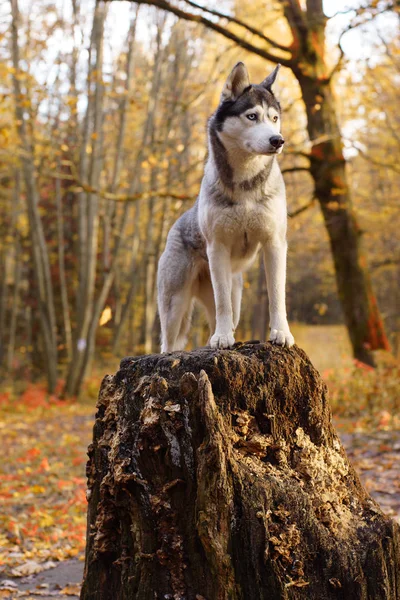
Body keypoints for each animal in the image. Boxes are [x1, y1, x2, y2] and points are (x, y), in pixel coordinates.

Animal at [156, 61, 294, 352]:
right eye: (252, 116)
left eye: (274, 118)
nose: (278, 140)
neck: (245, 185)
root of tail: (176, 226)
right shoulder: (217, 248)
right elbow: (222, 303)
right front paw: (221, 339)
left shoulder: (275, 244)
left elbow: (277, 295)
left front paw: (281, 333)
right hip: (174, 306)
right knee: (168, 343)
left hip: (236, 294)